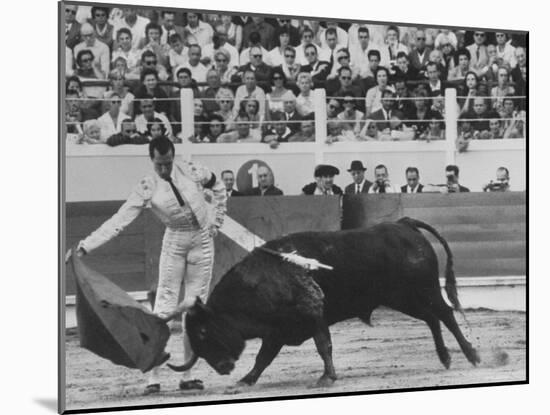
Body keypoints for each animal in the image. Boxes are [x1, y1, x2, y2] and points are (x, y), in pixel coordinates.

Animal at [166, 218, 480, 390]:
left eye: (203, 332)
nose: (221, 367)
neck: (261, 281)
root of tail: (404, 224)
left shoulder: (313, 313)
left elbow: (323, 345)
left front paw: (327, 377)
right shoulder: (276, 331)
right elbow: (263, 358)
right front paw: (246, 379)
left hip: (423, 290)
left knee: (445, 314)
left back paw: (471, 355)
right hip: (401, 298)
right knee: (431, 318)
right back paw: (445, 357)